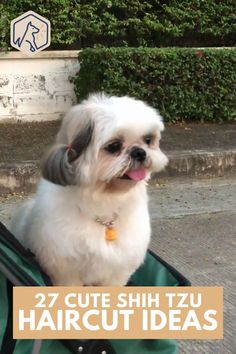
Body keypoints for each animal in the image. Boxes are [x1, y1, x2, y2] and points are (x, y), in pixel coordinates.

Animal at [11, 92, 168, 286]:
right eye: (114, 146)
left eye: (148, 140)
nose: (139, 152)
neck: (103, 201)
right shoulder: (64, 268)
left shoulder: (119, 269)